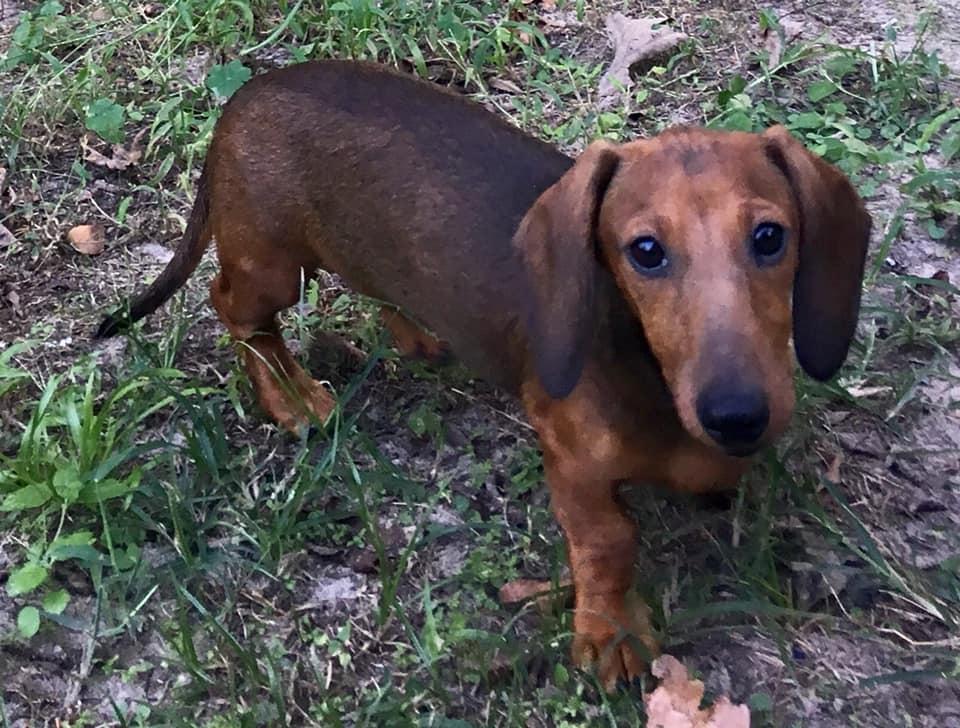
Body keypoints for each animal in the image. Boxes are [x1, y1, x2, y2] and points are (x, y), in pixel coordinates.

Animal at [97, 60, 871, 691]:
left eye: (769, 236)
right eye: (645, 251)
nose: (737, 414)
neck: (649, 375)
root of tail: (247, 95)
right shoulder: (571, 460)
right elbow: (609, 541)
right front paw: (611, 633)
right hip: (269, 263)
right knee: (232, 307)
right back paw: (290, 393)